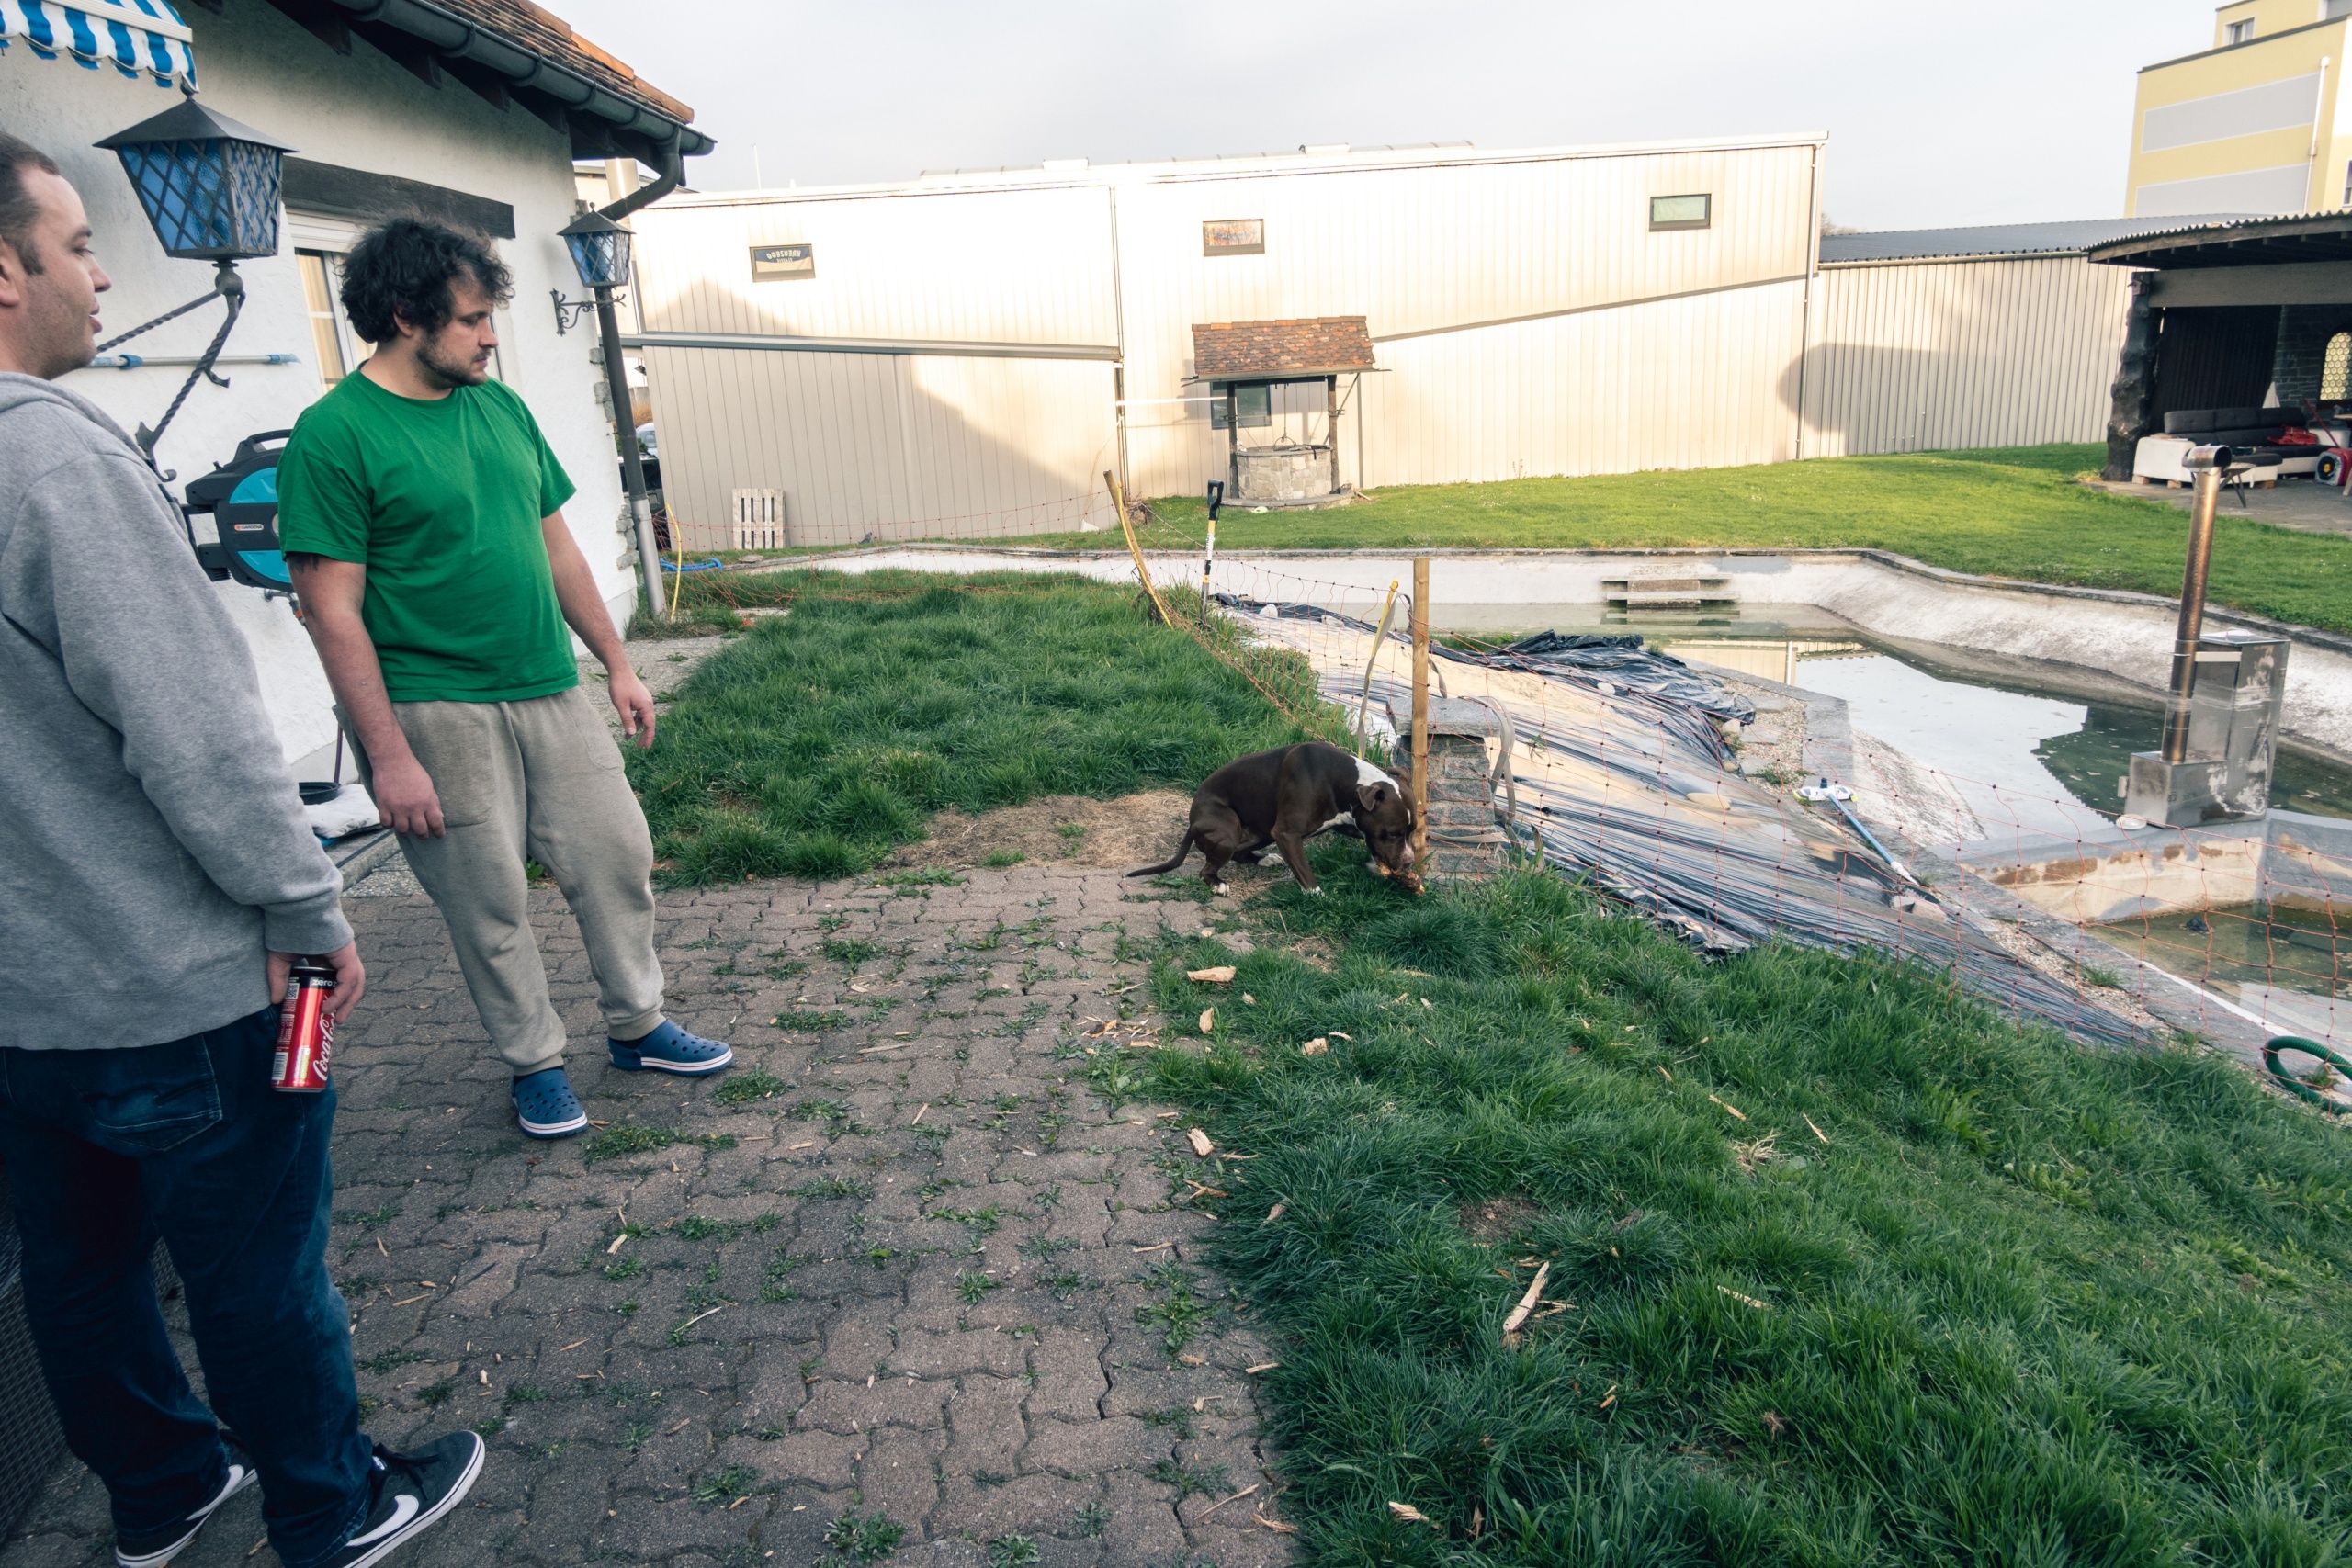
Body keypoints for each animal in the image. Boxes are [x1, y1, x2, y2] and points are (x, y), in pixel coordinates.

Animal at [1129, 741, 1417, 895]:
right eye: (1393, 833)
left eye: (1412, 831)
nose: (1410, 860)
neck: (1342, 779)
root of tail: (1192, 821)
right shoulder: (1287, 834)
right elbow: (1307, 877)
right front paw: (1321, 899)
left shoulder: (1349, 822)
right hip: (1228, 831)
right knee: (1208, 868)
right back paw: (1218, 884)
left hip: (1262, 831)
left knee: (1240, 853)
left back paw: (1265, 859)